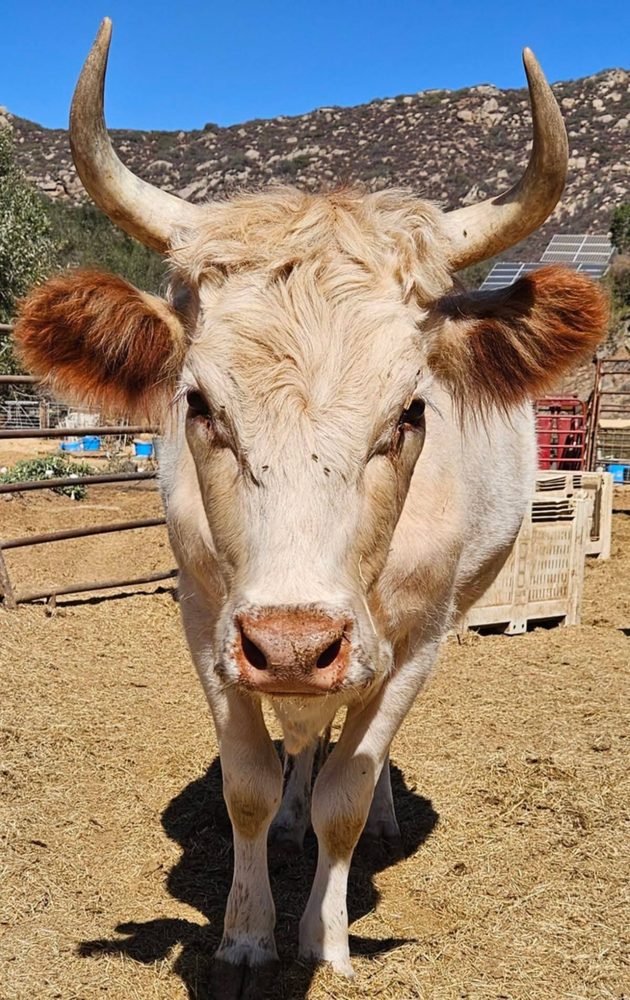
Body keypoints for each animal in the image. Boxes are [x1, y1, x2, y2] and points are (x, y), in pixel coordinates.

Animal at [14, 19, 607, 993]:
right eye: (199, 404)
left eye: (411, 412)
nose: (294, 642)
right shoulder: (208, 618)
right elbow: (251, 784)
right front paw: (249, 933)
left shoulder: (415, 640)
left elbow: (348, 795)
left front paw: (324, 938)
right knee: (302, 740)